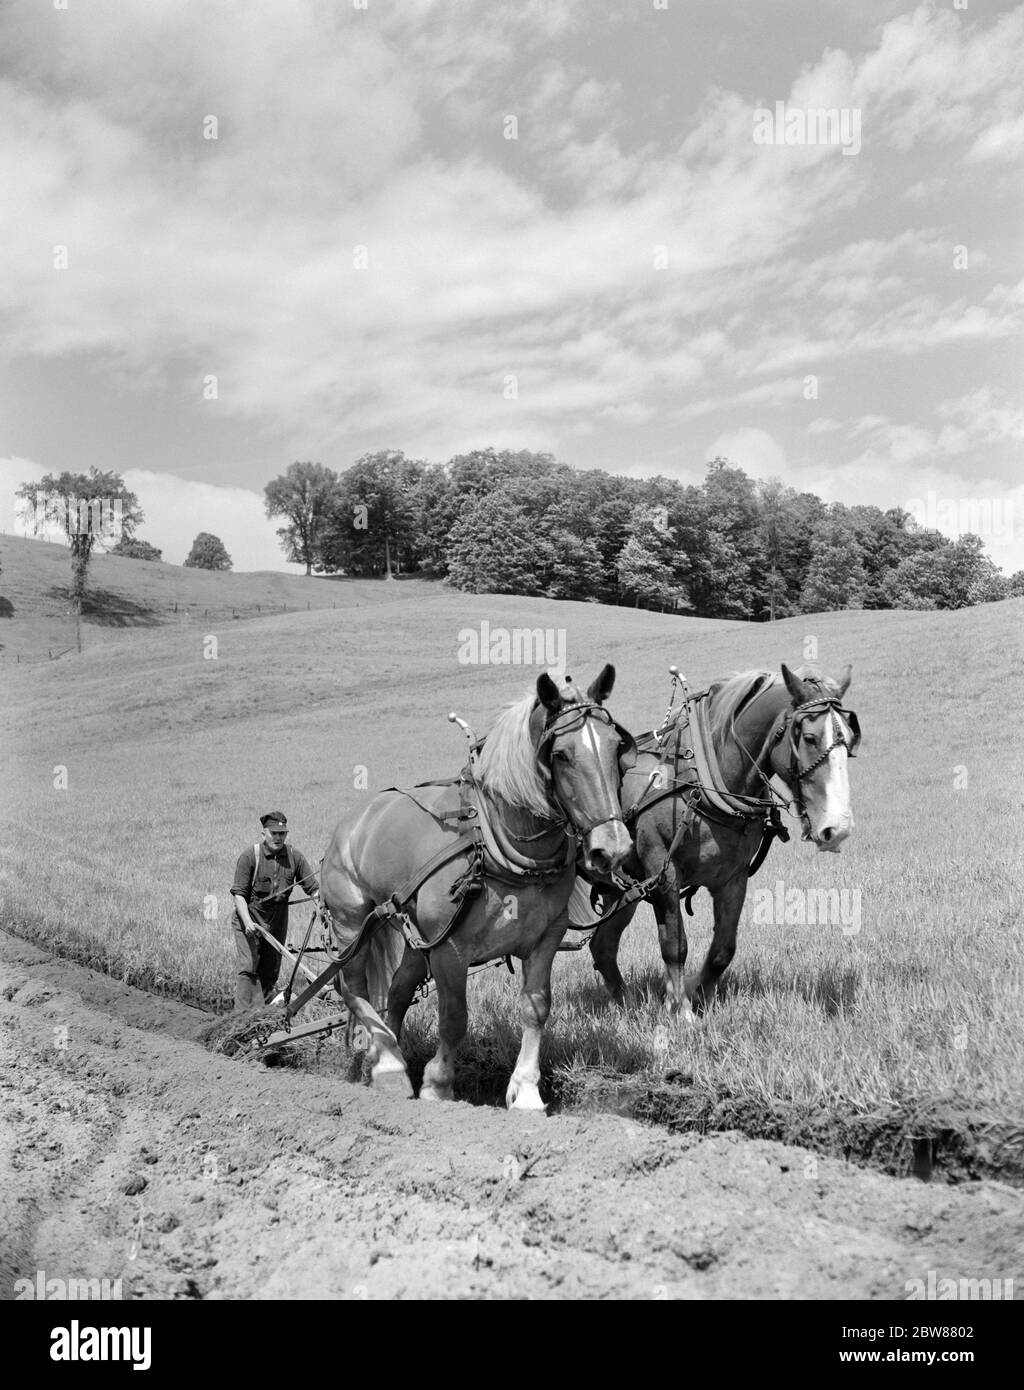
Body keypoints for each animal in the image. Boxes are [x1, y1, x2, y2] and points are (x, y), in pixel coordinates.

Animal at [321, 665, 634, 1109]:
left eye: (616, 748)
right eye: (561, 754)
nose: (613, 847)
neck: (494, 841)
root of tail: (354, 821)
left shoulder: (546, 936)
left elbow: (537, 1007)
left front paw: (526, 1091)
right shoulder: (450, 949)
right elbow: (454, 1018)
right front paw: (438, 1085)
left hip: (416, 936)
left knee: (397, 991)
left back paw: (387, 1054)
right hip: (351, 922)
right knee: (352, 987)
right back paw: (388, 1065)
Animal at [586, 663, 860, 1019]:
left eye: (850, 739)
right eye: (810, 738)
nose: (837, 827)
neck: (703, 783)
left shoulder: (733, 878)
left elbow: (723, 949)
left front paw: (699, 997)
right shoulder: (664, 876)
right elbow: (675, 946)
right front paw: (681, 1009)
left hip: (619, 888)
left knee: (603, 945)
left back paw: (627, 1005)